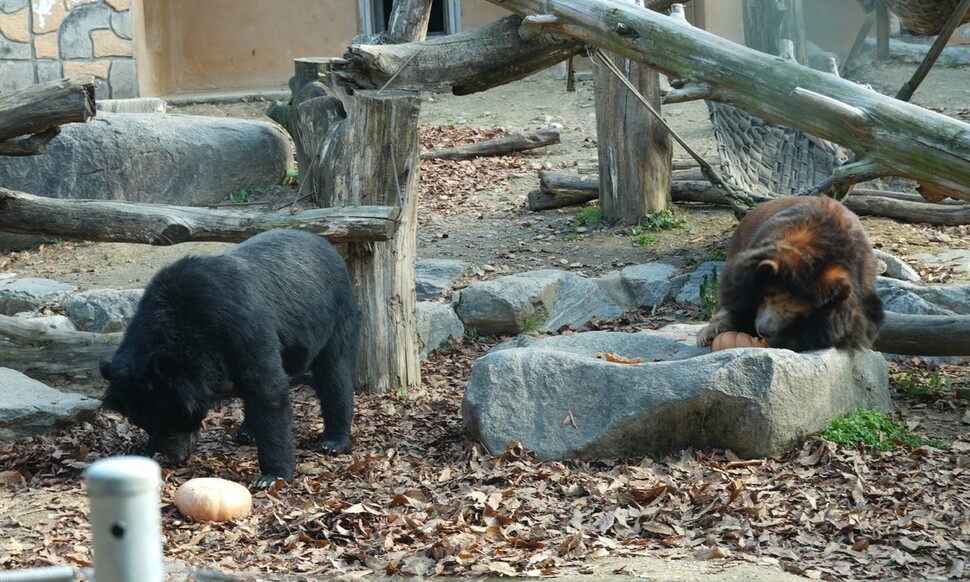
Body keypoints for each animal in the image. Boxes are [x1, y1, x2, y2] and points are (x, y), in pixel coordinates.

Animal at [99, 230, 360, 490]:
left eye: (174, 424)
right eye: (149, 425)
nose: (177, 458)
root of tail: (324, 242)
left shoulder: (243, 328)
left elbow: (268, 389)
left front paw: (271, 475)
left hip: (336, 313)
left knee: (334, 372)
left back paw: (333, 442)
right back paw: (246, 432)